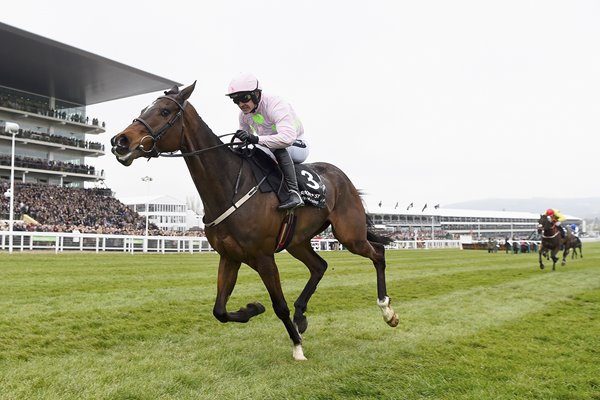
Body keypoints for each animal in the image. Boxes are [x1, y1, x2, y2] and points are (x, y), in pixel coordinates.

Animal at [109, 83, 398, 360]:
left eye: (164, 111)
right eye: (144, 108)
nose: (120, 140)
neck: (230, 187)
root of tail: (342, 177)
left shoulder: (263, 257)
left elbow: (279, 306)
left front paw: (297, 347)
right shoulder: (229, 256)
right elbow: (219, 310)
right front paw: (253, 308)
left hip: (349, 234)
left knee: (377, 252)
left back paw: (386, 310)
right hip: (298, 241)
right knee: (320, 266)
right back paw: (301, 316)